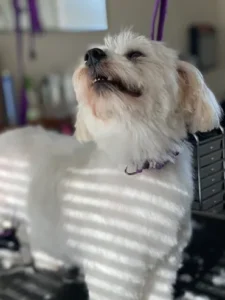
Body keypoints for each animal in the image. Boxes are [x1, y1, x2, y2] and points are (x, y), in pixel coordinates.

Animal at [0, 31, 221, 300]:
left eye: (136, 54)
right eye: (88, 53)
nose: (92, 54)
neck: (139, 162)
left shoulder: (164, 262)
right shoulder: (112, 269)